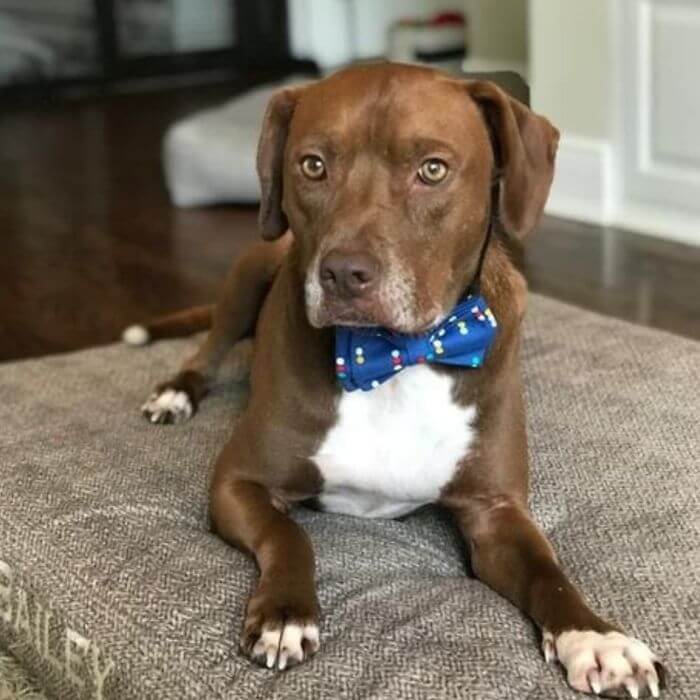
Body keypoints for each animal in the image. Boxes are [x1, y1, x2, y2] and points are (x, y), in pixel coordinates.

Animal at [129, 64, 664, 696]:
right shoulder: (238, 482)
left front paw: (597, 638)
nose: (342, 273)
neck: (393, 355)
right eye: (313, 165)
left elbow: (546, 571)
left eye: (432, 170)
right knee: (208, 349)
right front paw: (286, 614)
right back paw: (175, 392)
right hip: (249, 273)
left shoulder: (496, 511)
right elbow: (288, 535)